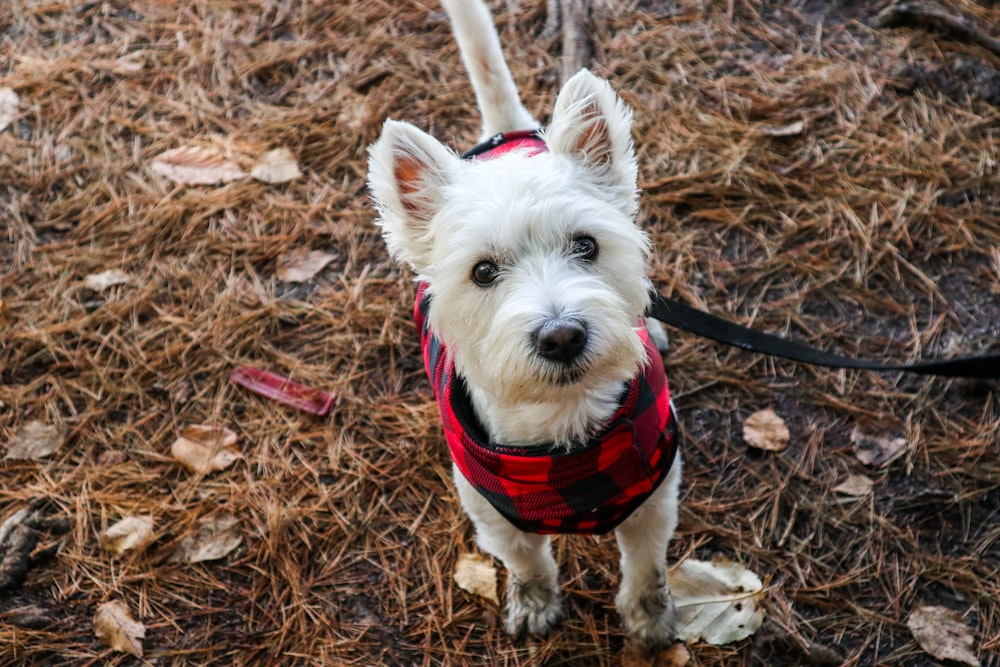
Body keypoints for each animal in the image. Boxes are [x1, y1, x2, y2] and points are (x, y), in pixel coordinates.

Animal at [372, 0, 684, 648]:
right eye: (483, 271)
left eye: (587, 245)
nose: (562, 336)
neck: (565, 433)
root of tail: (507, 136)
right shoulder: (493, 515)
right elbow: (527, 561)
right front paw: (535, 604)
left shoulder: (656, 494)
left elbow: (646, 565)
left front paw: (650, 621)